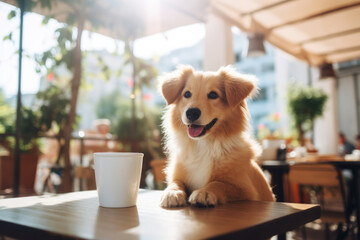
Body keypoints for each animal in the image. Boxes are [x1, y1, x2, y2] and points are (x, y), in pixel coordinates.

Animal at [159, 64, 274, 207]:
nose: (191, 112)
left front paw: (204, 192)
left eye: (213, 95)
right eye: (187, 94)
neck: (202, 145)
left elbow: (219, 183)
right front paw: (172, 193)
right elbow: (175, 182)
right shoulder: (177, 175)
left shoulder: (246, 190)